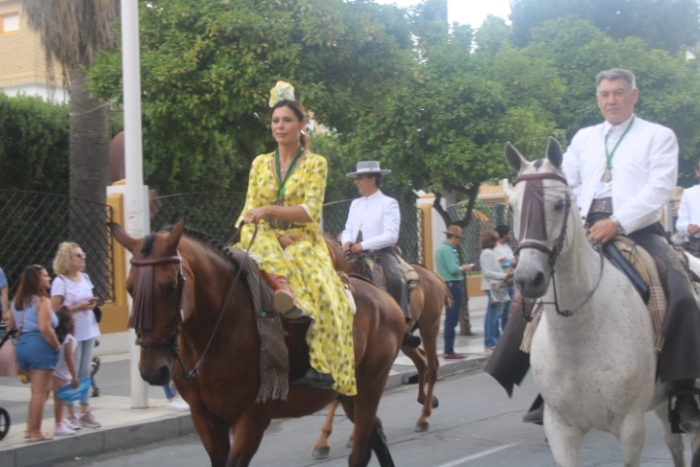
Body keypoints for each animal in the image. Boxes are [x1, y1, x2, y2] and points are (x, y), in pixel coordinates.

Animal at [108, 220, 404, 467]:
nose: (152, 370)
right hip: (348, 394)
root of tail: (386, 298)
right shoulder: (205, 419)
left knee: (361, 451)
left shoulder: (252, 419)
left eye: (169, 287)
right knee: (376, 437)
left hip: (370, 388)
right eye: (130, 288)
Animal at [312, 241, 448, 460]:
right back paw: (426, 400)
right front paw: (323, 440)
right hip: (404, 340)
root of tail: (433, 275)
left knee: (433, 365)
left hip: (430, 325)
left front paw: (348, 435)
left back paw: (424, 417)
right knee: (421, 360)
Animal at [506, 138, 700, 467]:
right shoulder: (560, 430)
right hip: (663, 402)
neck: (578, 336)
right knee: (674, 443)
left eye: (559, 204)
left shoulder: (631, 428)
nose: (528, 278)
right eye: (512, 207)